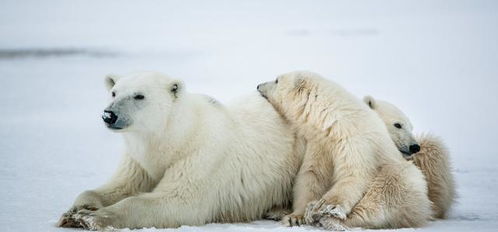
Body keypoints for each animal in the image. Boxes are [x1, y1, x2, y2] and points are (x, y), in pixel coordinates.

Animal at [54, 71, 304, 230]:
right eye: (114, 92)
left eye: (139, 95)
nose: (109, 115)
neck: (177, 136)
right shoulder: (138, 160)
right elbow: (121, 185)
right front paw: (77, 209)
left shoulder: (202, 156)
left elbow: (178, 202)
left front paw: (91, 218)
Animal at [256, 71, 432, 230]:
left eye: (277, 79)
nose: (258, 85)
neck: (334, 119)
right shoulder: (320, 143)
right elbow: (312, 175)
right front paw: (296, 217)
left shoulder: (355, 140)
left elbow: (354, 174)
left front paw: (326, 206)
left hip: (400, 176)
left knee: (382, 193)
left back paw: (333, 221)